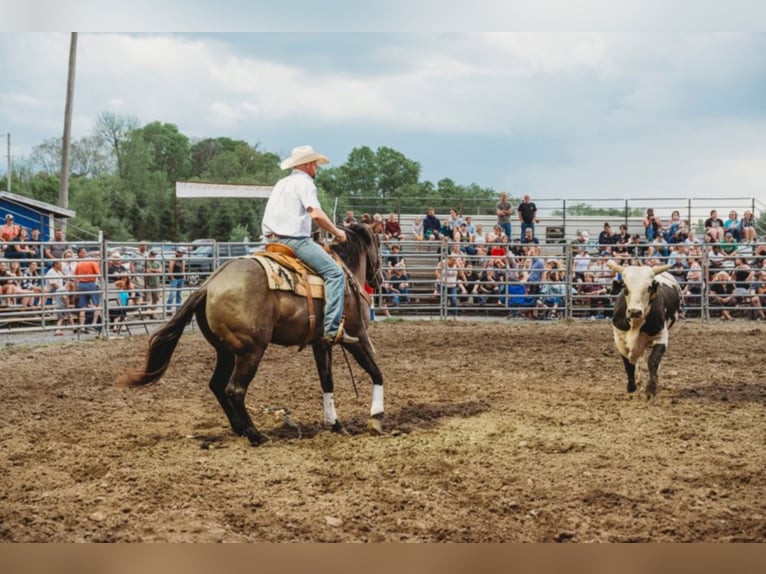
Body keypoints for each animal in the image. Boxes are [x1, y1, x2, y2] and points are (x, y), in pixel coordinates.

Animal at [115, 224, 384, 446]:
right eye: (379, 245)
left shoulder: (321, 344)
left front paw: (335, 424)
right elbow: (376, 371)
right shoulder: (357, 335)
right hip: (250, 351)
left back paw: (240, 428)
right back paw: (255, 435)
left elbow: (327, 381)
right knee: (234, 390)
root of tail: (208, 285)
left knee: (217, 385)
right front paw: (377, 418)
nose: (379, 279)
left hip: (225, 351)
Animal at [608, 264, 688, 398]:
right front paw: (631, 387)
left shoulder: (661, 336)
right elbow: (628, 364)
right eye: (625, 286)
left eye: (649, 287)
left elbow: (653, 361)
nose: (635, 311)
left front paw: (651, 389)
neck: (635, 324)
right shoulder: (619, 339)